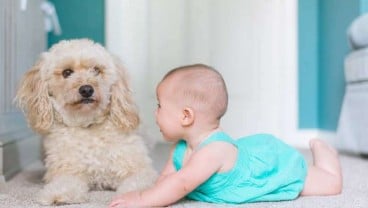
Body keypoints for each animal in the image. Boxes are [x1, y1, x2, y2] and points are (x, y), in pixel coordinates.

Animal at [14, 38, 157, 205]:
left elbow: (138, 183)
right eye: (67, 72)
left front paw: (135, 196)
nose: (87, 89)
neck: (88, 125)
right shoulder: (68, 170)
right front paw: (58, 193)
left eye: (96, 70)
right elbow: (65, 183)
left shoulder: (139, 169)